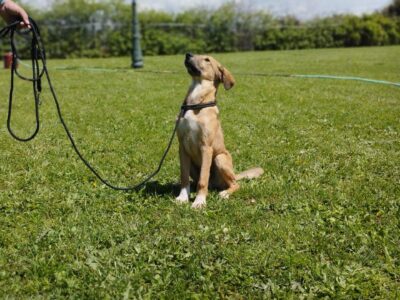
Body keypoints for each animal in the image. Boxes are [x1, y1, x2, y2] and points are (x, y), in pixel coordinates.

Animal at [175, 53, 262, 209]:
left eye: (207, 59)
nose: (188, 54)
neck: (196, 104)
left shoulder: (206, 147)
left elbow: (203, 179)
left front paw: (199, 201)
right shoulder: (182, 147)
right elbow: (183, 177)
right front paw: (183, 197)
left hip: (219, 158)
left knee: (234, 184)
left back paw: (225, 193)